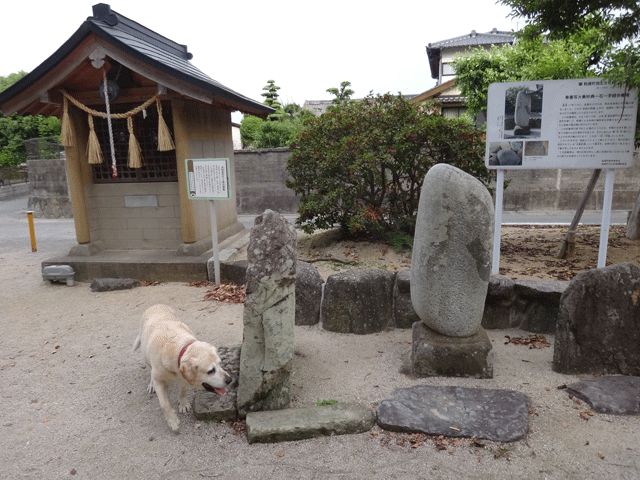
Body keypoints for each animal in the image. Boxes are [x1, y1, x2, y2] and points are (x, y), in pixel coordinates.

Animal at [132, 304, 230, 432]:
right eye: (211, 371)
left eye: (220, 364)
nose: (230, 380)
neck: (179, 349)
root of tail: (156, 304)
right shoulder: (159, 381)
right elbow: (165, 404)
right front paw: (173, 421)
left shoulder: (183, 377)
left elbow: (183, 391)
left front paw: (183, 404)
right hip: (146, 357)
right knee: (150, 371)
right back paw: (151, 384)